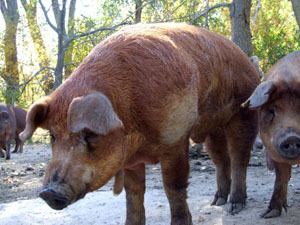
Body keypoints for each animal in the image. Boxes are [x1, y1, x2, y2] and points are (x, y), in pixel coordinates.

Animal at [19, 23, 258, 225]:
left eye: (89, 134)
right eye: (53, 136)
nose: (48, 192)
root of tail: (249, 61)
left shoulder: (175, 138)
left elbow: (173, 187)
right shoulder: (130, 159)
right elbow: (133, 194)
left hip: (244, 110)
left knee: (239, 157)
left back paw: (234, 206)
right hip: (213, 128)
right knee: (220, 159)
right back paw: (217, 201)